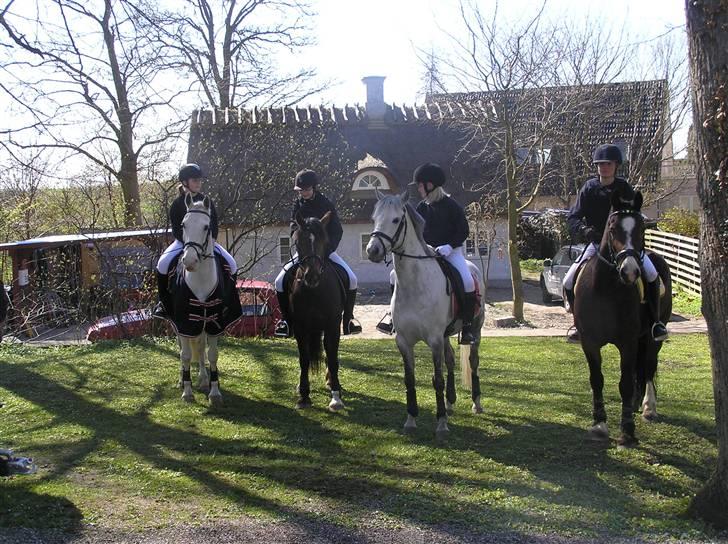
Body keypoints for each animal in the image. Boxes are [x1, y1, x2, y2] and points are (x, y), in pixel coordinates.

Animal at [288, 210, 346, 410]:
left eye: (324, 241)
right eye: (298, 242)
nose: (311, 276)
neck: (314, 291)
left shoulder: (332, 325)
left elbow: (333, 358)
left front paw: (336, 398)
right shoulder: (300, 327)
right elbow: (304, 359)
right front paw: (304, 395)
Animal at [364, 189, 484, 440]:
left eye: (396, 220)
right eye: (374, 218)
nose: (373, 251)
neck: (415, 285)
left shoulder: (434, 340)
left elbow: (437, 379)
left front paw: (441, 424)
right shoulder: (404, 341)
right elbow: (409, 379)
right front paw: (411, 420)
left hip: (476, 331)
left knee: (473, 361)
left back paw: (476, 403)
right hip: (447, 335)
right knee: (450, 360)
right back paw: (450, 403)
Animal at [576, 189, 672, 448]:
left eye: (641, 229)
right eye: (612, 228)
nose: (630, 272)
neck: (606, 289)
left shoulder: (627, 342)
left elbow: (625, 383)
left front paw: (627, 430)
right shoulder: (589, 342)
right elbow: (596, 379)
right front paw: (599, 424)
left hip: (652, 336)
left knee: (648, 366)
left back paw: (648, 407)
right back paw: (638, 404)